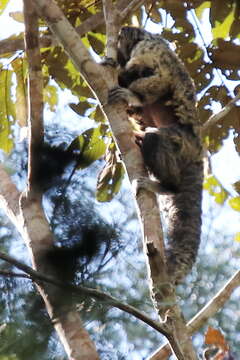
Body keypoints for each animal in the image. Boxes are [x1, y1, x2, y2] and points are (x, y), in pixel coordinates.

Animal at [107, 26, 202, 284]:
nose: (121, 35)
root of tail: (199, 150)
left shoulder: (149, 48)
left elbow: (159, 77)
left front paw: (131, 93)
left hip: (183, 143)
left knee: (155, 137)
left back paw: (167, 186)